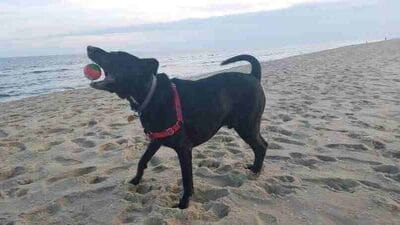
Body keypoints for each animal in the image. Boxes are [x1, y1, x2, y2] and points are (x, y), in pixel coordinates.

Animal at [87, 45, 268, 209]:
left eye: (116, 55)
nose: (89, 47)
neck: (150, 94)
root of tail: (253, 76)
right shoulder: (156, 140)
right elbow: (142, 160)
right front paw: (135, 180)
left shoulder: (184, 149)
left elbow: (187, 180)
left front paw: (184, 203)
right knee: (262, 144)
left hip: (246, 126)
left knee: (261, 146)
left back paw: (256, 170)